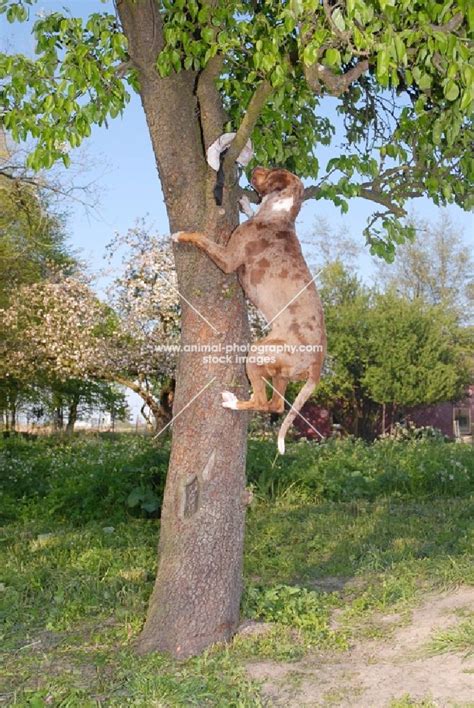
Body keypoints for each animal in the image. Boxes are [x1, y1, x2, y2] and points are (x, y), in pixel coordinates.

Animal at [173, 166, 326, 450]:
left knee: (261, 401)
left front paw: (180, 235)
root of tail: (317, 364)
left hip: (257, 354)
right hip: (280, 373)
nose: (253, 167)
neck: (279, 213)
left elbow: (200, 237)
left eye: (272, 169)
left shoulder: (228, 259)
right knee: (276, 405)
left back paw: (232, 402)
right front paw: (244, 203)